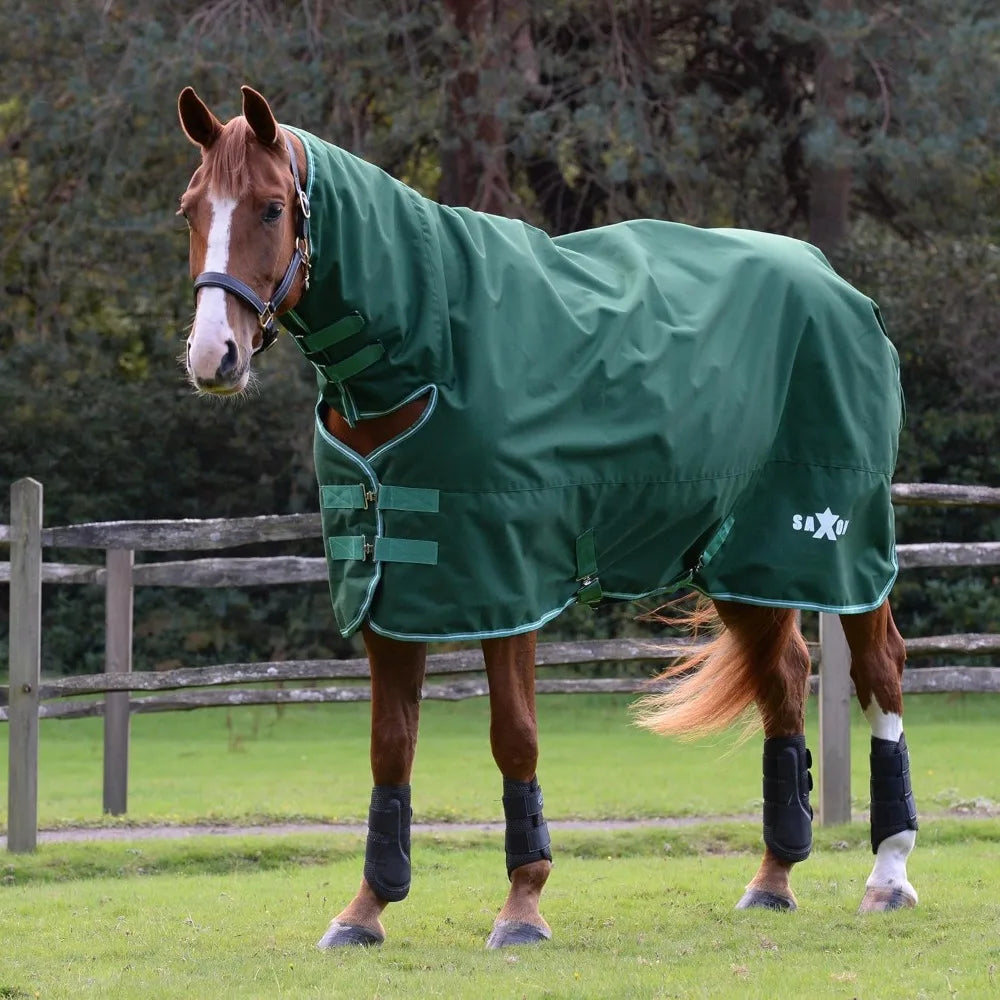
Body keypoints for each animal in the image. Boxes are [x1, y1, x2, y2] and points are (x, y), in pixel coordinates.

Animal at [176, 85, 919, 950]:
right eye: (191, 209)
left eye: (269, 207)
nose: (213, 357)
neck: (428, 350)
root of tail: (839, 286)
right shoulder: (388, 592)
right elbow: (390, 749)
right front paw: (366, 909)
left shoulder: (506, 585)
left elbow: (515, 736)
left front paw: (523, 906)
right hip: (741, 556)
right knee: (786, 679)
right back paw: (773, 877)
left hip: (835, 545)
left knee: (880, 671)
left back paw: (888, 873)